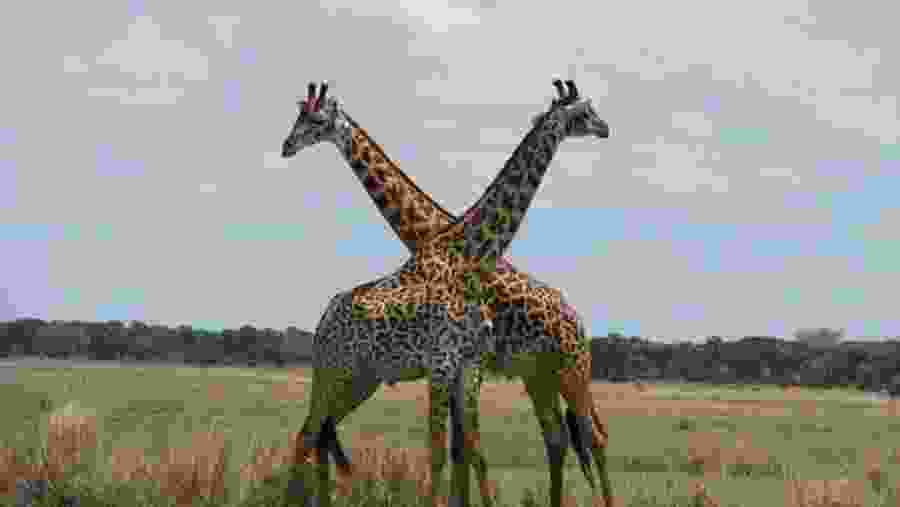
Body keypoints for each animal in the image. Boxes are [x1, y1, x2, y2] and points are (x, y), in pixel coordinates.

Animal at [281, 80, 613, 507]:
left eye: (315, 119)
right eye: (586, 112)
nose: (287, 145)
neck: (457, 249)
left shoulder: (466, 366)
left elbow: (465, 451)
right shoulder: (444, 364)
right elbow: (449, 451)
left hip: (563, 370)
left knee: (585, 437)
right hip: (340, 374)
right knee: (309, 434)